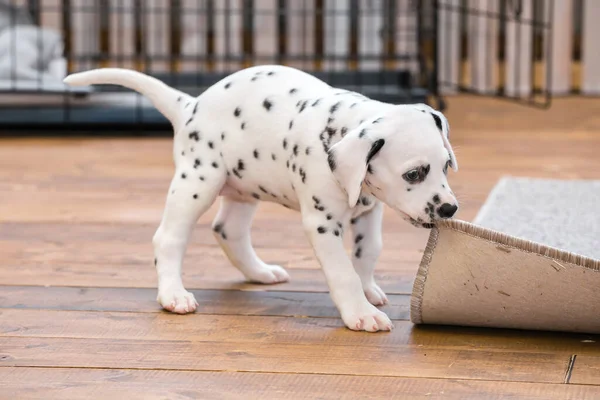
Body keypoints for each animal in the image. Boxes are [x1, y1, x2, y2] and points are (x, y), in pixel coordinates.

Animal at [64, 66, 460, 334]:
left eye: (445, 165)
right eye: (414, 174)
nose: (449, 208)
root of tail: (190, 104)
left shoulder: (368, 211)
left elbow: (367, 253)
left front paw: (368, 290)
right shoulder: (321, 224)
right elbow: (342, 272)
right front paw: (359, 312)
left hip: (243, 190)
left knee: (227, 230)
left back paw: (260, 272)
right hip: (198, 181)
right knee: (169, 238)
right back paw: (173, 294)